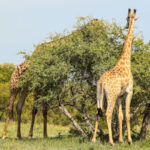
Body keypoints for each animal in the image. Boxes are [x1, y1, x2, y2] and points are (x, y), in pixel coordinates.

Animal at [91, 9, 138, 145]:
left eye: (127, 18)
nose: (126, 26)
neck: (125, 64)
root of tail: (101, 82)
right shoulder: (129, 92)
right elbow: (127, 115)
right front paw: (129, 140)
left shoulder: (119, 96)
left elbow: (120, 115)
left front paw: (121, 140)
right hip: (110, 96)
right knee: (107, 113)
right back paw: (111, 141)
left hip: (99, 95)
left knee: (97, 112)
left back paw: (93, 139)